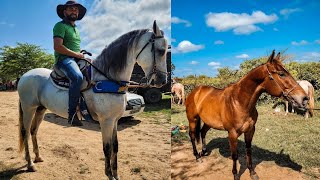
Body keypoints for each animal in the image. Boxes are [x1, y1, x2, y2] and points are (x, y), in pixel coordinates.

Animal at [17, 20, 168, 179]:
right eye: (161, 51)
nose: (162, 80)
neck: (107, 79)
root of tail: (24, 76)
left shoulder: (114, 120)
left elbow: (115, 146)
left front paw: (116, 174)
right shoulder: (106, 121)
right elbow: (107, 148)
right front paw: (109, 174)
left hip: (40, 108)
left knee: (33, 131)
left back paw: (38, 157)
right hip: (28, 108)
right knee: (25, 132)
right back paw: (30, 164)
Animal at [186, 50, 308, 180]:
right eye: (281, 74)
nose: (304, 98)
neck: (239, 102)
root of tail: (195, 91)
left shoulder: (250, 130)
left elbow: (248, 150)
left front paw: (252, 172)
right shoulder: (232, 134)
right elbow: (235, 155)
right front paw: (235, 175)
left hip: (208, 122)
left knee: (202, 132)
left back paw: (203, 152)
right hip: (192, 119)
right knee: (192, 135)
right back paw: (197, 156)